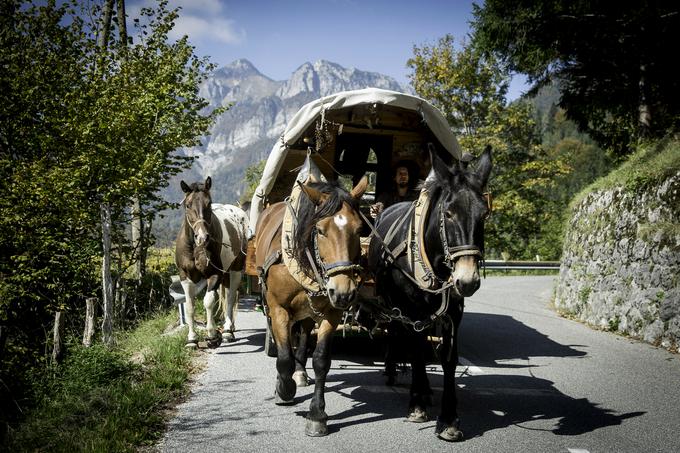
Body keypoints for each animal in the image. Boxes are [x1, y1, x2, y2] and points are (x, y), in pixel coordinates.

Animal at [175, 176, 250, 346]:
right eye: (187, 205)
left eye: (209, 203)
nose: (202, 237)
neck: (196, 248)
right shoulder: (185, 277)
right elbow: (189, 307)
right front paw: (192, 339)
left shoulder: (215, 274)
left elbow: (208, 302)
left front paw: (212, 335)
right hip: (226, 273)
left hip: (235, 270)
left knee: (230, 297)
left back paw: (227, 331)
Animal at [254, 176, 366, 434]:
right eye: (321, 230)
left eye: (358, 229)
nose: (344, 291)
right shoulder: (279, 309)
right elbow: (283, 357)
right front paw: (284, 390)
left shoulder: (331, 312)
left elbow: (321, 360)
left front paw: (317, 414)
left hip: (307, 312)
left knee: (304, 334)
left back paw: (300, 372)